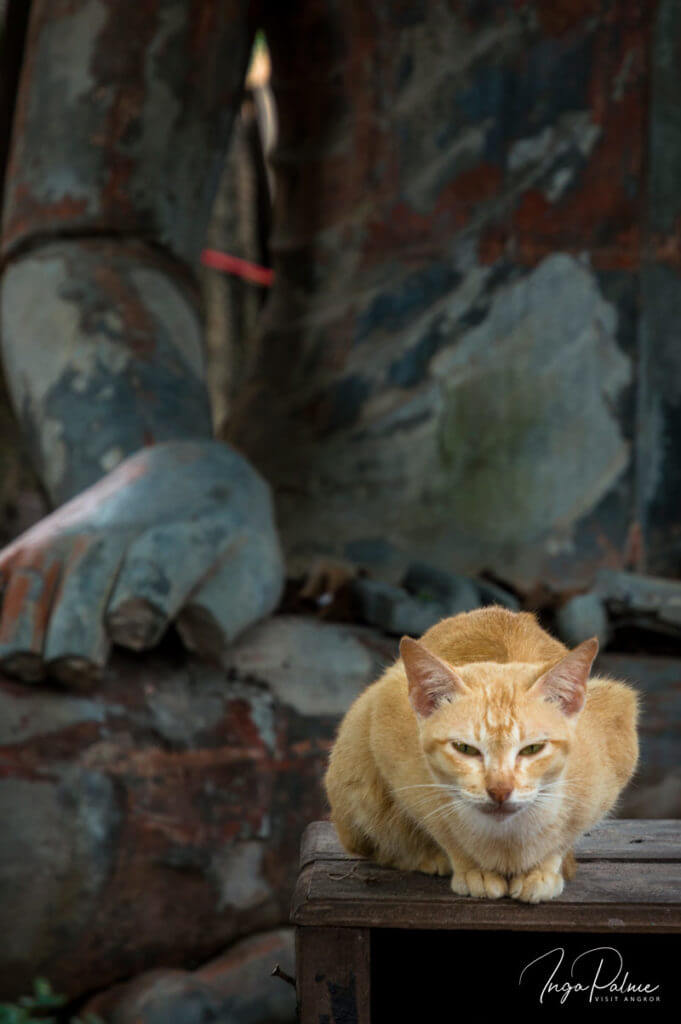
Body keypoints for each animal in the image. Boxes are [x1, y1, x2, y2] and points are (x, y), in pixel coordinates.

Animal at [323, 606, 639, 905]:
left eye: (532, 749)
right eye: (465, 749)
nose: (499, 790)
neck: (507, 839)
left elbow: (564, 837)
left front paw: (542, 870)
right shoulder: (392, 747)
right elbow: (443, 829)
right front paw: (473, 869)